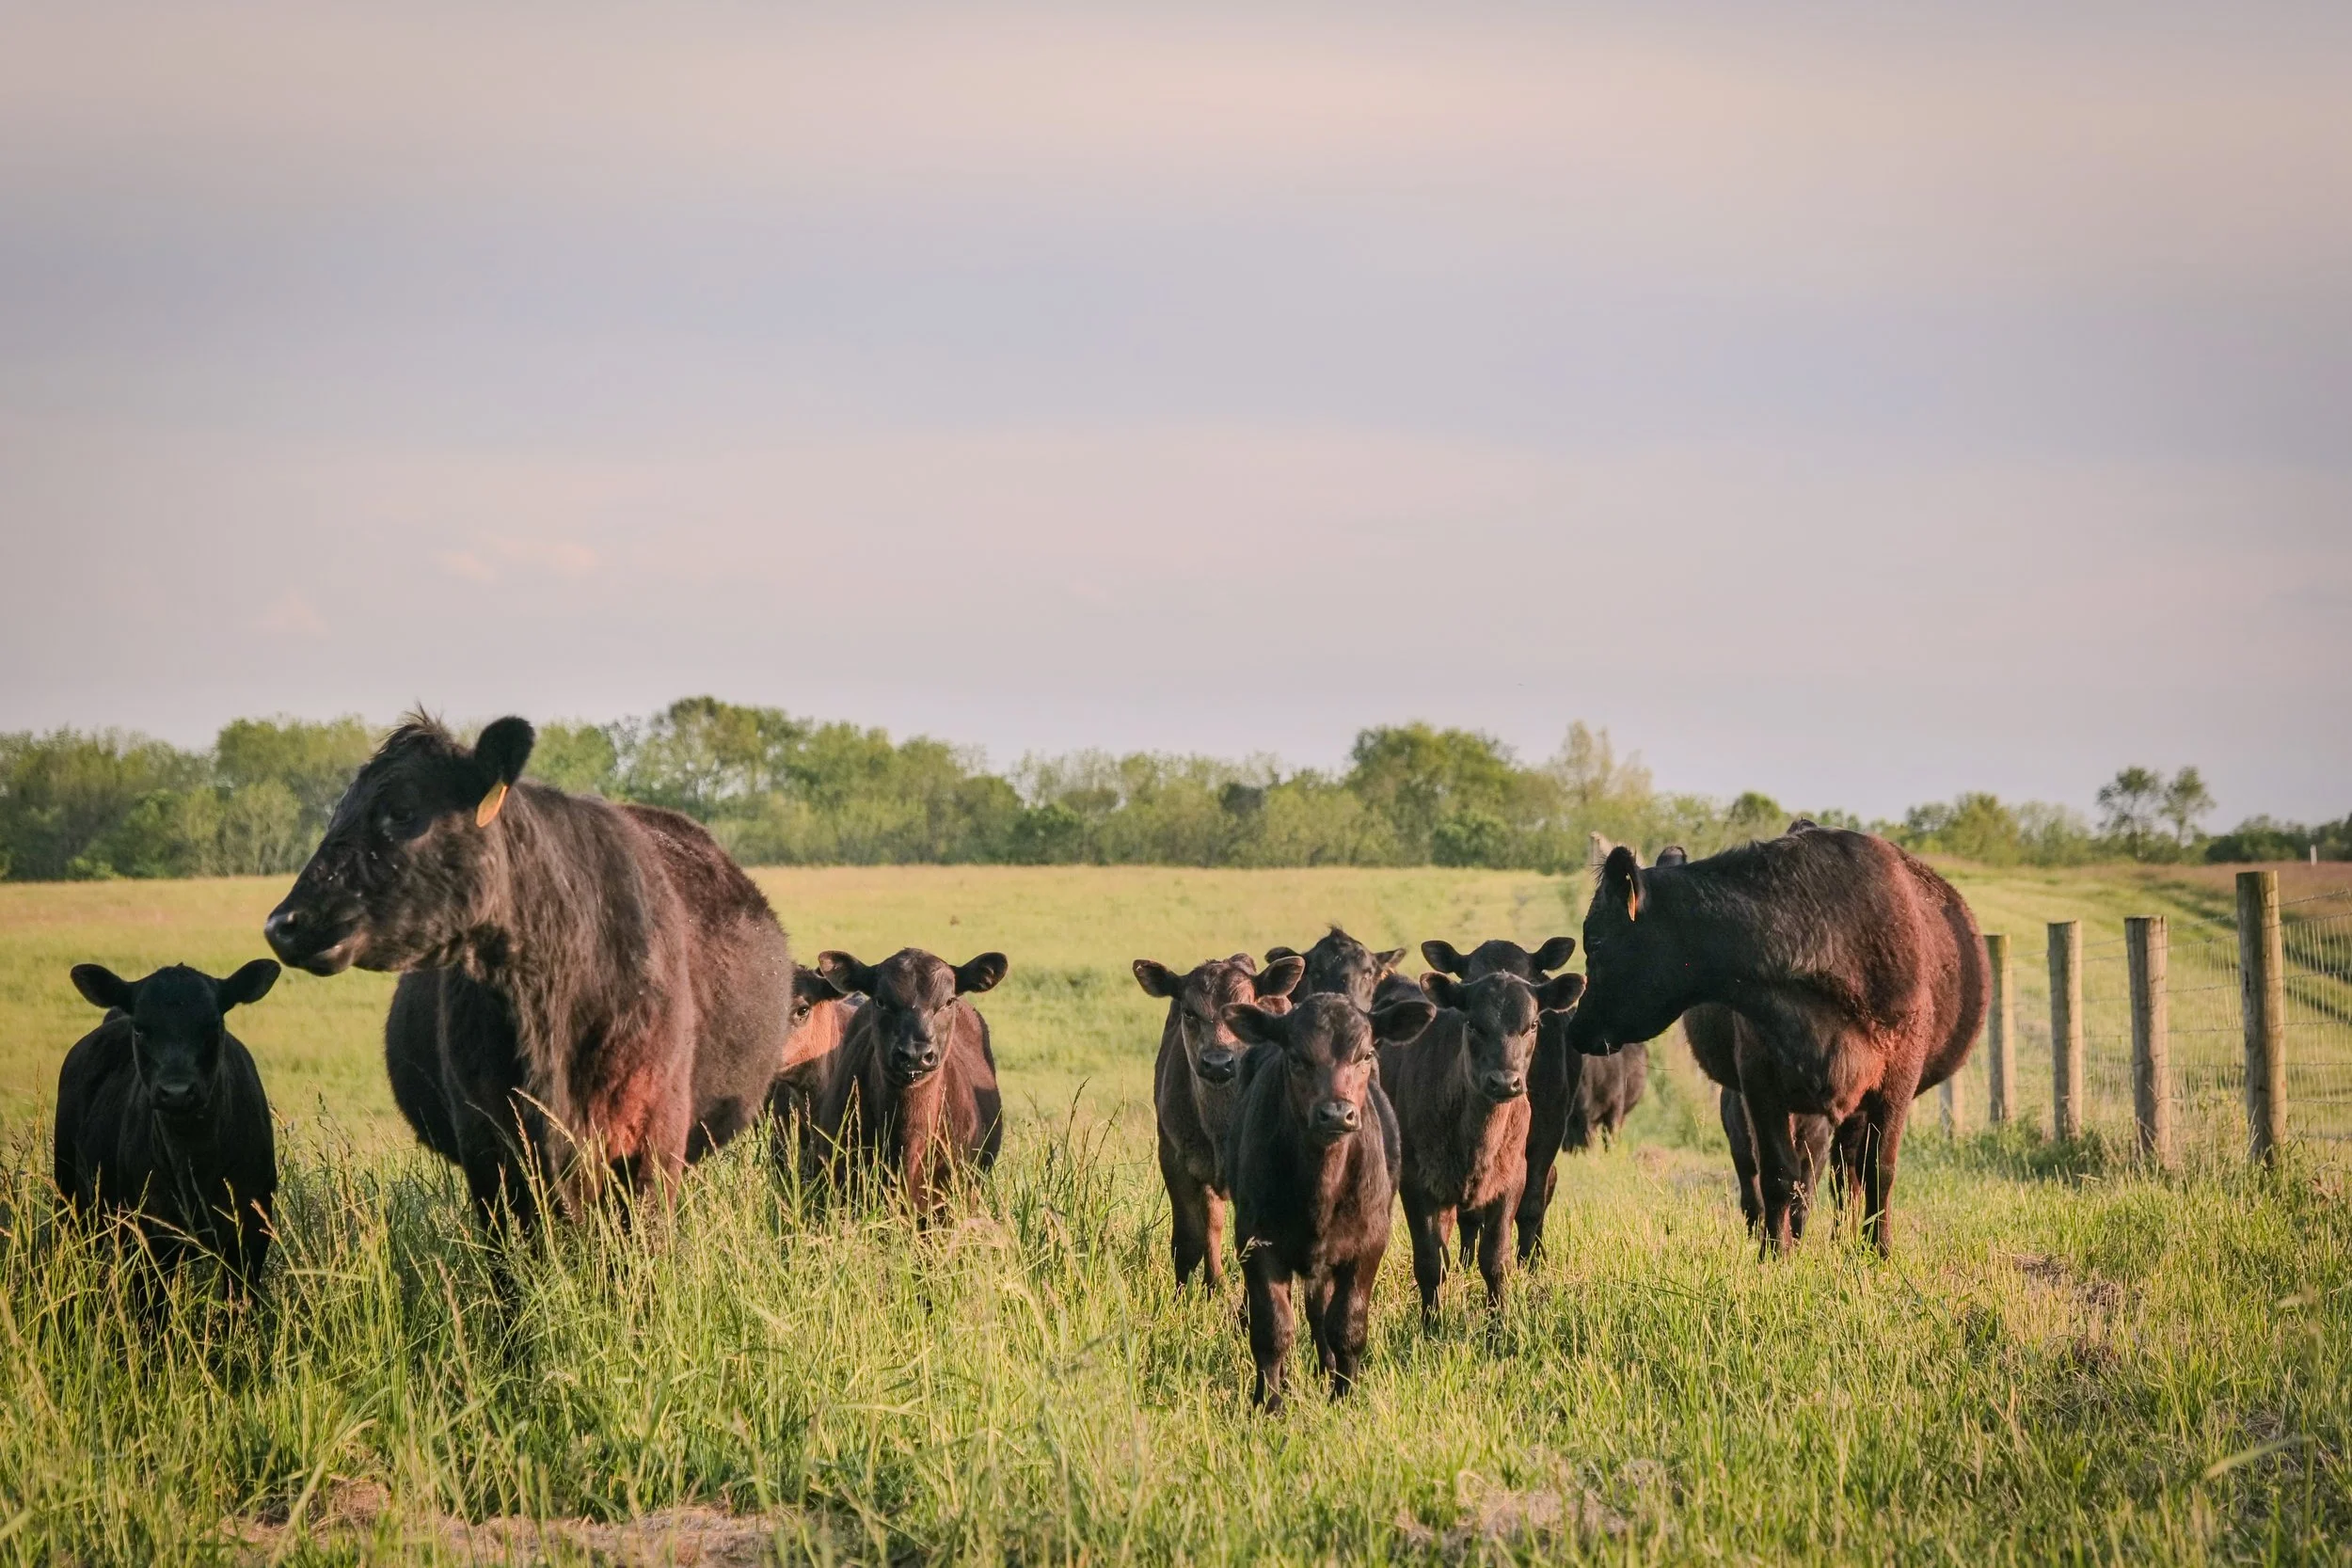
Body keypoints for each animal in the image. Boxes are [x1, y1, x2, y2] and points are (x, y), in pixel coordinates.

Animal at [54, 959, 281, 1301]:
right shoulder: (148, 1235)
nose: (176, 1092)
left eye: (213, 1025)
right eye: (140, 1029)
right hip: (71, 1195)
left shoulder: (251, 1232)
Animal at [1134, 951, 1306, 1288]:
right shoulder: (1173, 1158)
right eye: (1189, 1012)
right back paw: (1214, 1283)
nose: (1218, 1063)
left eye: (1245, 1009)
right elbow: (1188, 1241)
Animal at [1222, 992, 1434, 1409]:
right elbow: (1272, 1328)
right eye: (1296, 1058)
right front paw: (1269, 1403)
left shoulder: (1368, 1244)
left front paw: (1344, 1395)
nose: (1336, 1113)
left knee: (1320, 1311)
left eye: (1365, 1055)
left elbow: (1347, 1325)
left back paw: (1327, 1369)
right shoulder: (1257, 1242)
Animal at [1386, 969, 1585, 1323]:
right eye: (1473, 1024)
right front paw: (1430, 1325)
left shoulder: (1512, 1180)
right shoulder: (1415, 1183)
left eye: (1532, 1025)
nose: (1505, 1082)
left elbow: (1494, 1259)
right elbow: (1430, 1263)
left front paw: (1499, 1320)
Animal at [1569, 827, 1989, 1254]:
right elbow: (1778, 1172)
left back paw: (1846, 1241)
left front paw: (1879, 1251)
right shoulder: (1760, 1078)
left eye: (1596, 942)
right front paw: (1775, 1253)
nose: (1576, 1028)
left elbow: (1878, 1169)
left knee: (1847, 1171)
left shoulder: (1898, 1075)